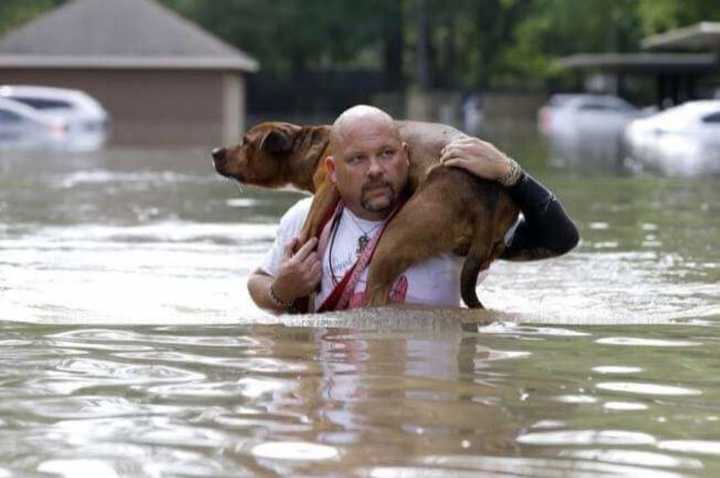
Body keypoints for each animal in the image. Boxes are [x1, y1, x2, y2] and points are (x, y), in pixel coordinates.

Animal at [208, 121, 516, 308]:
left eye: (246, 141)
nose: (214, 151)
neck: (313, 144)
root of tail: (484, 197)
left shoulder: (327, 189)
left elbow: (308, 229)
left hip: (393, 243)